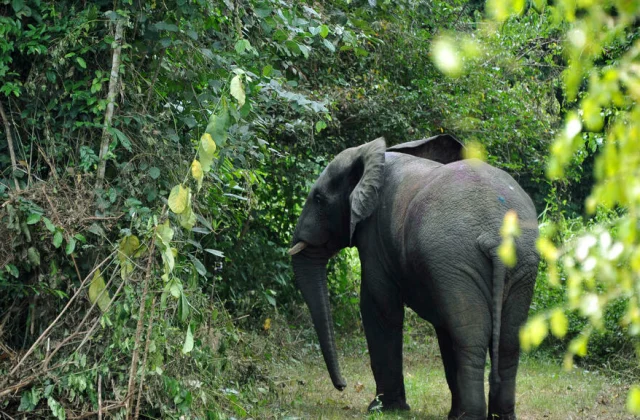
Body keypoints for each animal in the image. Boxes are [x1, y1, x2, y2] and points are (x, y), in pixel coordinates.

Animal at [288, 135, 539, 420]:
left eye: (319, 199)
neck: (373, 155)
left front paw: (383, 409)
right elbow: (443, 326)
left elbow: (379, 308)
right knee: (506, 341)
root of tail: (496, 237)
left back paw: (469, 416)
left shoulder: (375, 236)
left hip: (459, 258)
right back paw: (494, 416)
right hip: (518, 265)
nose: (342, 386)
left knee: (470, 339)